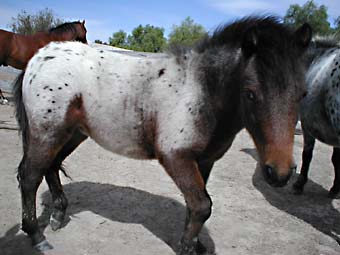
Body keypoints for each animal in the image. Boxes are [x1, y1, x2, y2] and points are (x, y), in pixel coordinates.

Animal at [13, 16, 310, 255]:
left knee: (51, 166)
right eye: (250, 93)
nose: (280, 173)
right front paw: (188, 248)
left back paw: (58, 215)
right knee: (29, 176)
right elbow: (202, 205)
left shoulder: (204, 161)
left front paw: (197, 245)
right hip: (47, 132)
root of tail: (38, 57)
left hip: (72, 134)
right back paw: (37, 236)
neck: (202, 91)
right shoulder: (175, 157)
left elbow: (195, 205)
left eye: (303, 94)